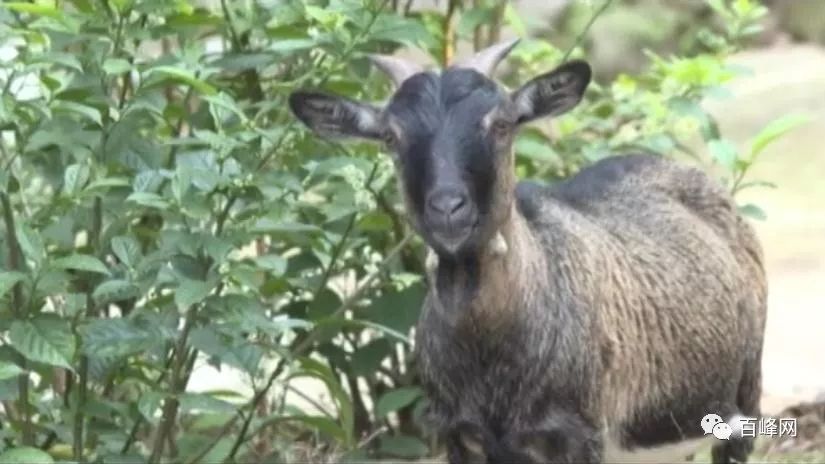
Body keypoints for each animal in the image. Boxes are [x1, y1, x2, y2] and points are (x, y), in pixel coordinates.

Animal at [290, 40, 768, 464]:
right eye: (390, 137)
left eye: (502, 124)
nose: (448, 210)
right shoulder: (458, 436)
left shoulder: (579, 436)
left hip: (743, 404)